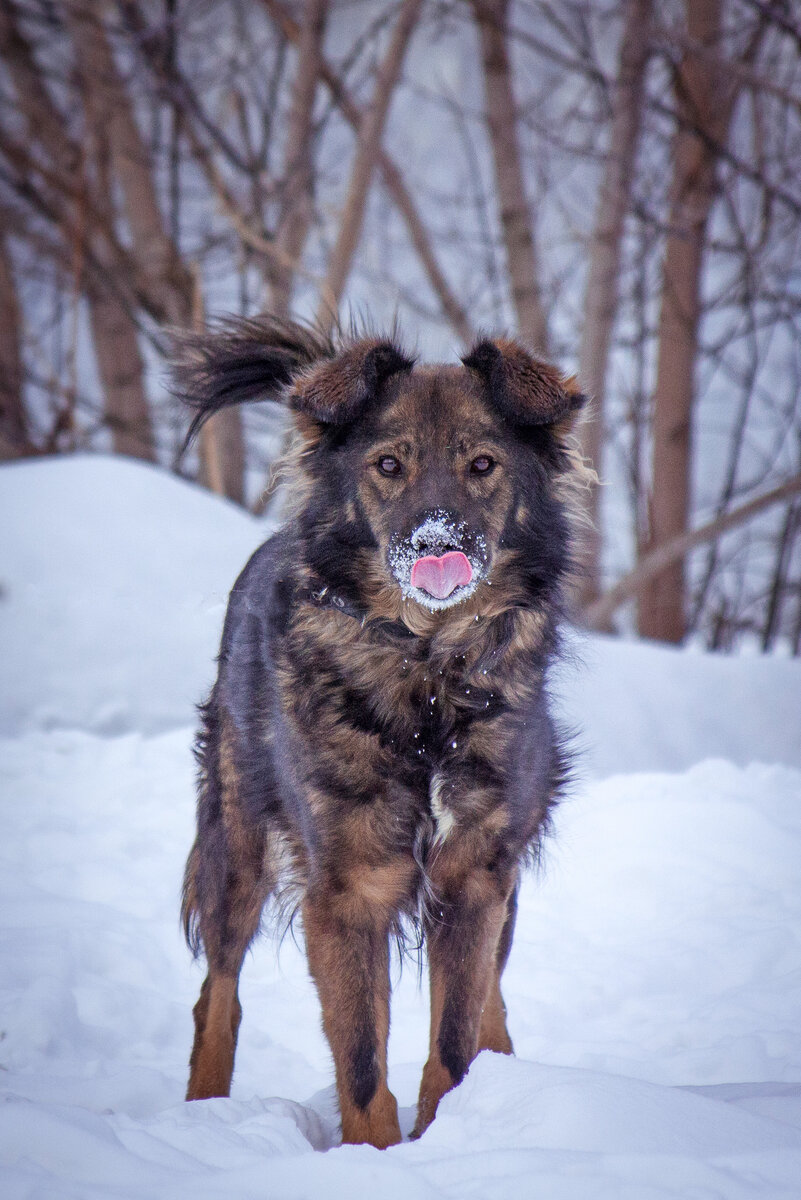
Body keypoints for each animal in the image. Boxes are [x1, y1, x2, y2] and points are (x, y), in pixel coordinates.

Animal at [172, 314, 587, 1147]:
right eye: (388, 465)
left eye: (482, 464)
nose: (434, 542)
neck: (427, 678)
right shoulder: (349, 889)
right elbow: (362, 1059)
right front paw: (373, 1152)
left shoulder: (473, 877)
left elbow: (452, 1040)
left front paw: (442, 1135)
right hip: (237, 845)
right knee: (217, 992)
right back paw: (203, 1115)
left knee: (490, 1001)